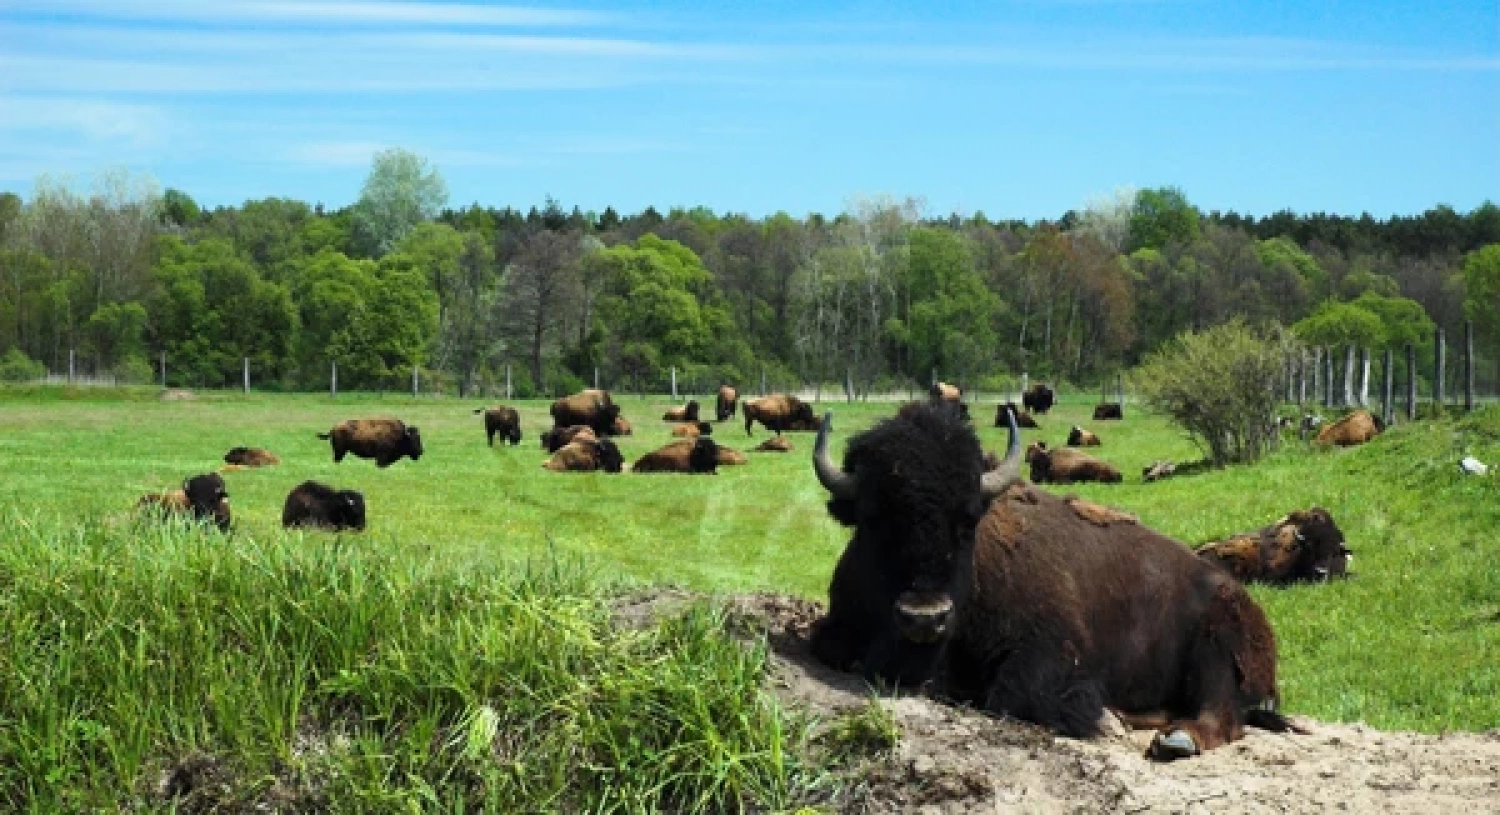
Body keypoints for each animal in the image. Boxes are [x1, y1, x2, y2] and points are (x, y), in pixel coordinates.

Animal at [809, 403, 1297, 761]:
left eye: (966, 523)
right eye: (872, 520)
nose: (925, 617)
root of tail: (1245, 601)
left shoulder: (1051, 651)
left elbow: (1012, 695)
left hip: (1217, 647)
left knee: (1221, 715)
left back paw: (1174, 739)